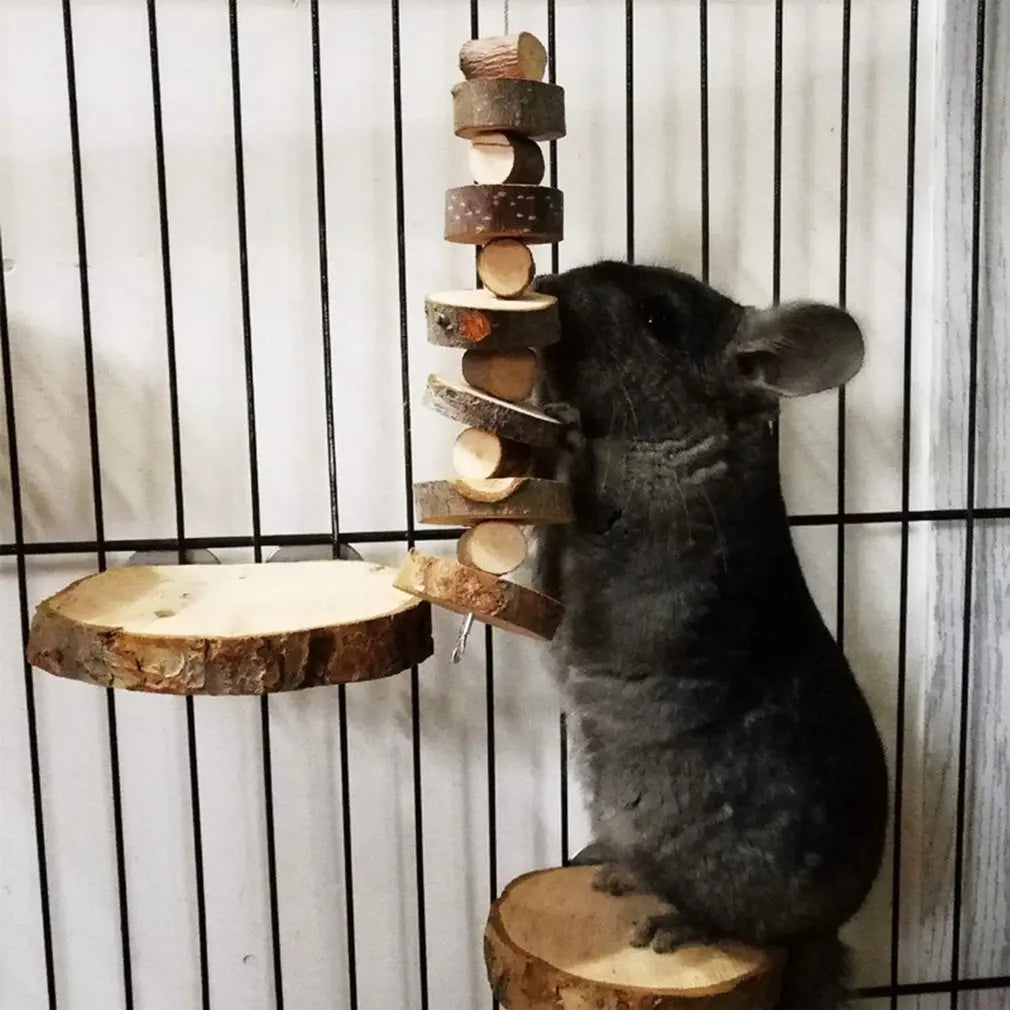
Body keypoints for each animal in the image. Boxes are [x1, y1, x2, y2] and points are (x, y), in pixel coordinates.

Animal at [532, 260, 889, 1009]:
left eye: (658, 319)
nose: (547, 282)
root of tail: (829, 928)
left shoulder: (624, 583)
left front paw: (565, 431)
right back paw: (614, 872)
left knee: (741, 928)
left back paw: (669, 923)